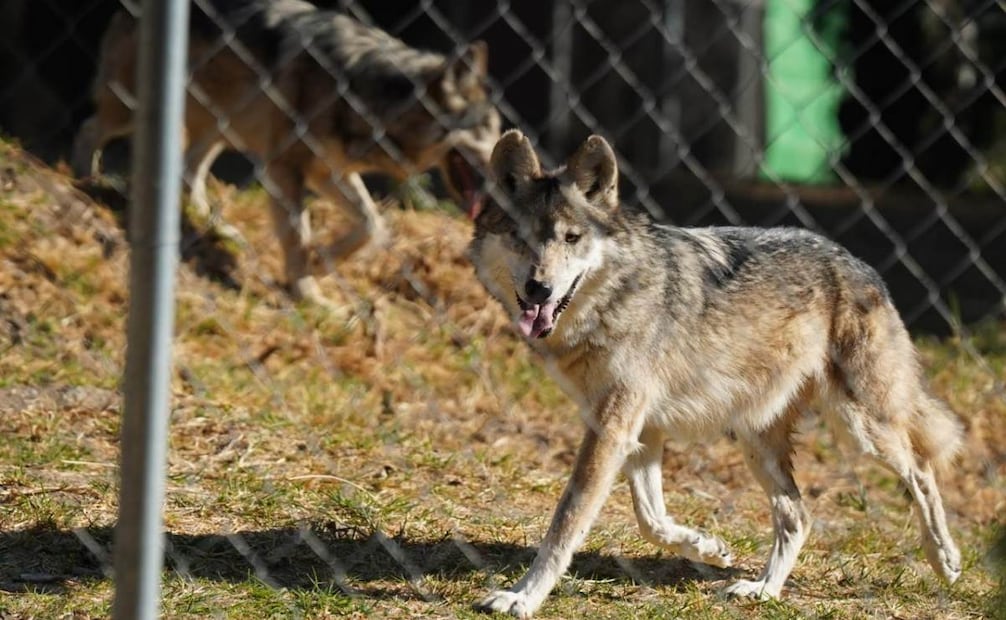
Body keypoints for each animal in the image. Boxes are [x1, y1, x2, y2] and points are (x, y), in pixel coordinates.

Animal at [73, 0, 499, 304]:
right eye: (491, 131)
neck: (366, 95)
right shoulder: (286, 168)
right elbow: (297, 233)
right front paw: (308, 292)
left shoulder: (327, 172)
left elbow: (371, 224)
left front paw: (320, 264)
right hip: (133, 110)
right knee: (90, 130)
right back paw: (84, 182)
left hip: (221, 126)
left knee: (190, 171)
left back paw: (219, 229)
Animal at [468, 130, 963, 618]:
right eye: (519, 237)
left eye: (572, 238)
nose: (539, 288)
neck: (615, 296)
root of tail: (860, 265)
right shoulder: (637, 428)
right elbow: (651, 519)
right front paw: (706, 547)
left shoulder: (613, 426)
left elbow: (566, 523)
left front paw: (523, 596)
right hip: (756, 438)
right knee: (798, 516)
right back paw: (763, 590)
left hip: (861, 427)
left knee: (921, 470)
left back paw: (945, 559)